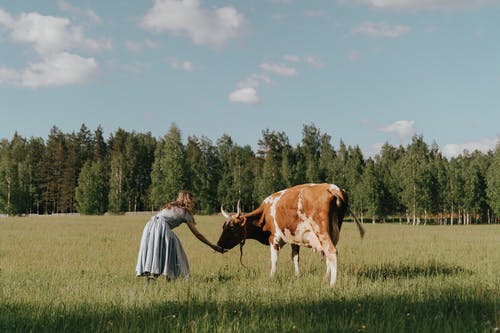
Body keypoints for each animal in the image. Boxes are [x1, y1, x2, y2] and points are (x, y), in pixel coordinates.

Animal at [217, 182, 366, 286]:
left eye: (231, 227)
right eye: (223, 226)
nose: (218, 244)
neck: (265, 213)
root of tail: (332, 187)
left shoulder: (274, 239)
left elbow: (274, 260)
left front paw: (272, 276)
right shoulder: (295, 240)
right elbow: (295, 258)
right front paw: (297, 275)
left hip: (322, 233)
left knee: (332, 253)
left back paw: (332, 283)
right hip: (332, 232)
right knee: (328, 256)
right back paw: (325, 278)